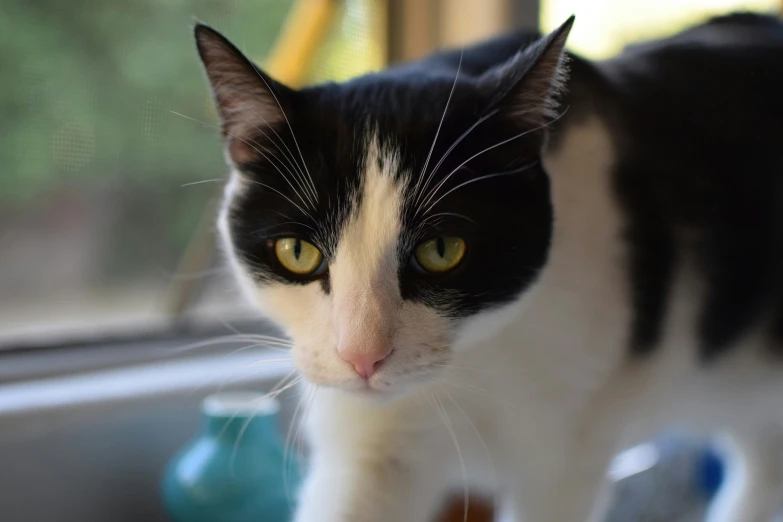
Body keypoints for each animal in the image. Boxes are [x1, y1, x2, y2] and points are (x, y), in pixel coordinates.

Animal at [193, 12, 783, 520]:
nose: (362, 357)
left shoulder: (563, 460)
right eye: (298, 252)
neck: (474, 365)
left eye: (442, 250)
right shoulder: (367, 450)